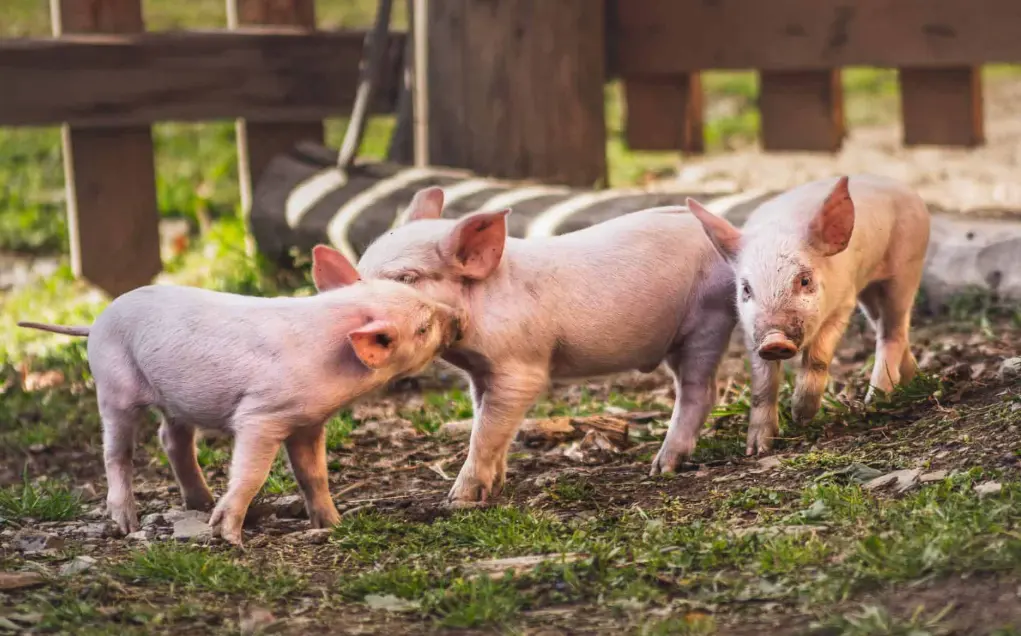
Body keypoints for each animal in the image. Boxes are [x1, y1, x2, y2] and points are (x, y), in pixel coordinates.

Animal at [18, 278, 462, 545]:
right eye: (423, 327)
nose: (459, 317)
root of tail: (95, 322)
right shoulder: (261, 416)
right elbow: (251, 473)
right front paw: (229, 537)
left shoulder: (308, 422)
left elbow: (314, 475)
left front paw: (335, 524)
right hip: (113, 386)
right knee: (116, 451)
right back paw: (129, 524)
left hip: (173, 400)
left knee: (172, 439)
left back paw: (199, 502)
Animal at [311, 186, 738, 507]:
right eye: (360, 272)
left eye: (405, 277)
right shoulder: (480, 372)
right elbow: (487, 422)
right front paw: (495, 487)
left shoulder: (521, 366)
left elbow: (486, 429)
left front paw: (457, 501)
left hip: (707, 321)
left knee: (700, 391)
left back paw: (661, 467)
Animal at [685, 174, 931, 455]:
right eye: (746, 288)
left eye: (804, 280)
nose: (774, 340)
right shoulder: (751, 331)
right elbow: (762, 382)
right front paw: (757, 449)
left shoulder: (843, 302)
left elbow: (817, 356)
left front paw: (801, 417)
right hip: (870, 291)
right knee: (885, 328)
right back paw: (913, 379)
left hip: (906, 268)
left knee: (893, 332)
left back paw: (875, 401)